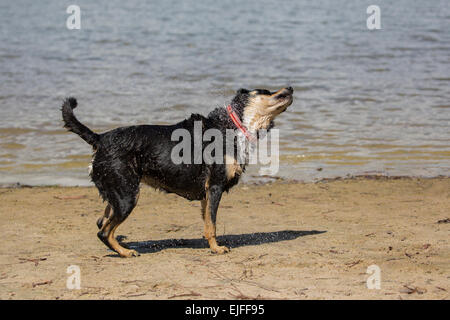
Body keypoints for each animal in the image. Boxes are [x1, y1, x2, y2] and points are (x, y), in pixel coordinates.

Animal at [62, 87, 296, 258]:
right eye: (266, 91)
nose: (291, 87)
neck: (235, 125)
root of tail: (100, 139)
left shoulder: (206, 194)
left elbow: (208, 223)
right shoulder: (215, 187)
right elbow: (212, 224)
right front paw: (216, 249)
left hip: (117, 193)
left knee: (102, 223)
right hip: (127, 196)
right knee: (103, 231)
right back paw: (125, 252)